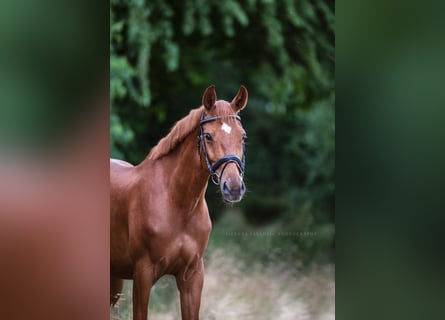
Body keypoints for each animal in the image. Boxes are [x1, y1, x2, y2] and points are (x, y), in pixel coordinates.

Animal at [109, 85, 248, 320]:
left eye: (243, 137)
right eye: (208, 136)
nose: (233, 188)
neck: (177, 203)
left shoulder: (192, 276)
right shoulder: (143, 274)